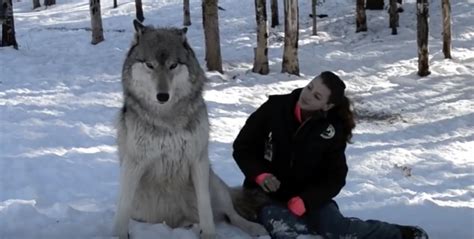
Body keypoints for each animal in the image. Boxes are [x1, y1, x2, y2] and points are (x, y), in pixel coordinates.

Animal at [111, 19, 266, 239]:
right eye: (149, 65)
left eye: (173, 65)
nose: (162, 96)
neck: (167, 119)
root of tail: (176, 222)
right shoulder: (134, 164)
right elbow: (122, 209)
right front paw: (119, 235)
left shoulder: (198, 160)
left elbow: (205, 207)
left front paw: (208, 235)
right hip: (141, 209)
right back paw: (191, 226)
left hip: (214, 183)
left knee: (231, 214)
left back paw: (254, 229)